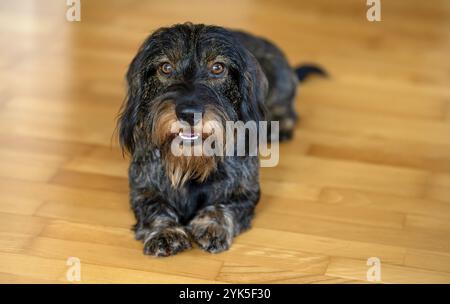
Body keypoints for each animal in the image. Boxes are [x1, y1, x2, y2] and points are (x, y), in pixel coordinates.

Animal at [118, 22, 326, 256]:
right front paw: (165, 232)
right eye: (166, 68)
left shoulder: (245, 193)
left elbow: (222, 206)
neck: (192, 162)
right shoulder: (142, 190)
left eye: (217, 68)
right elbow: (155, 208)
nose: (188, 113)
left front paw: (212, 226)